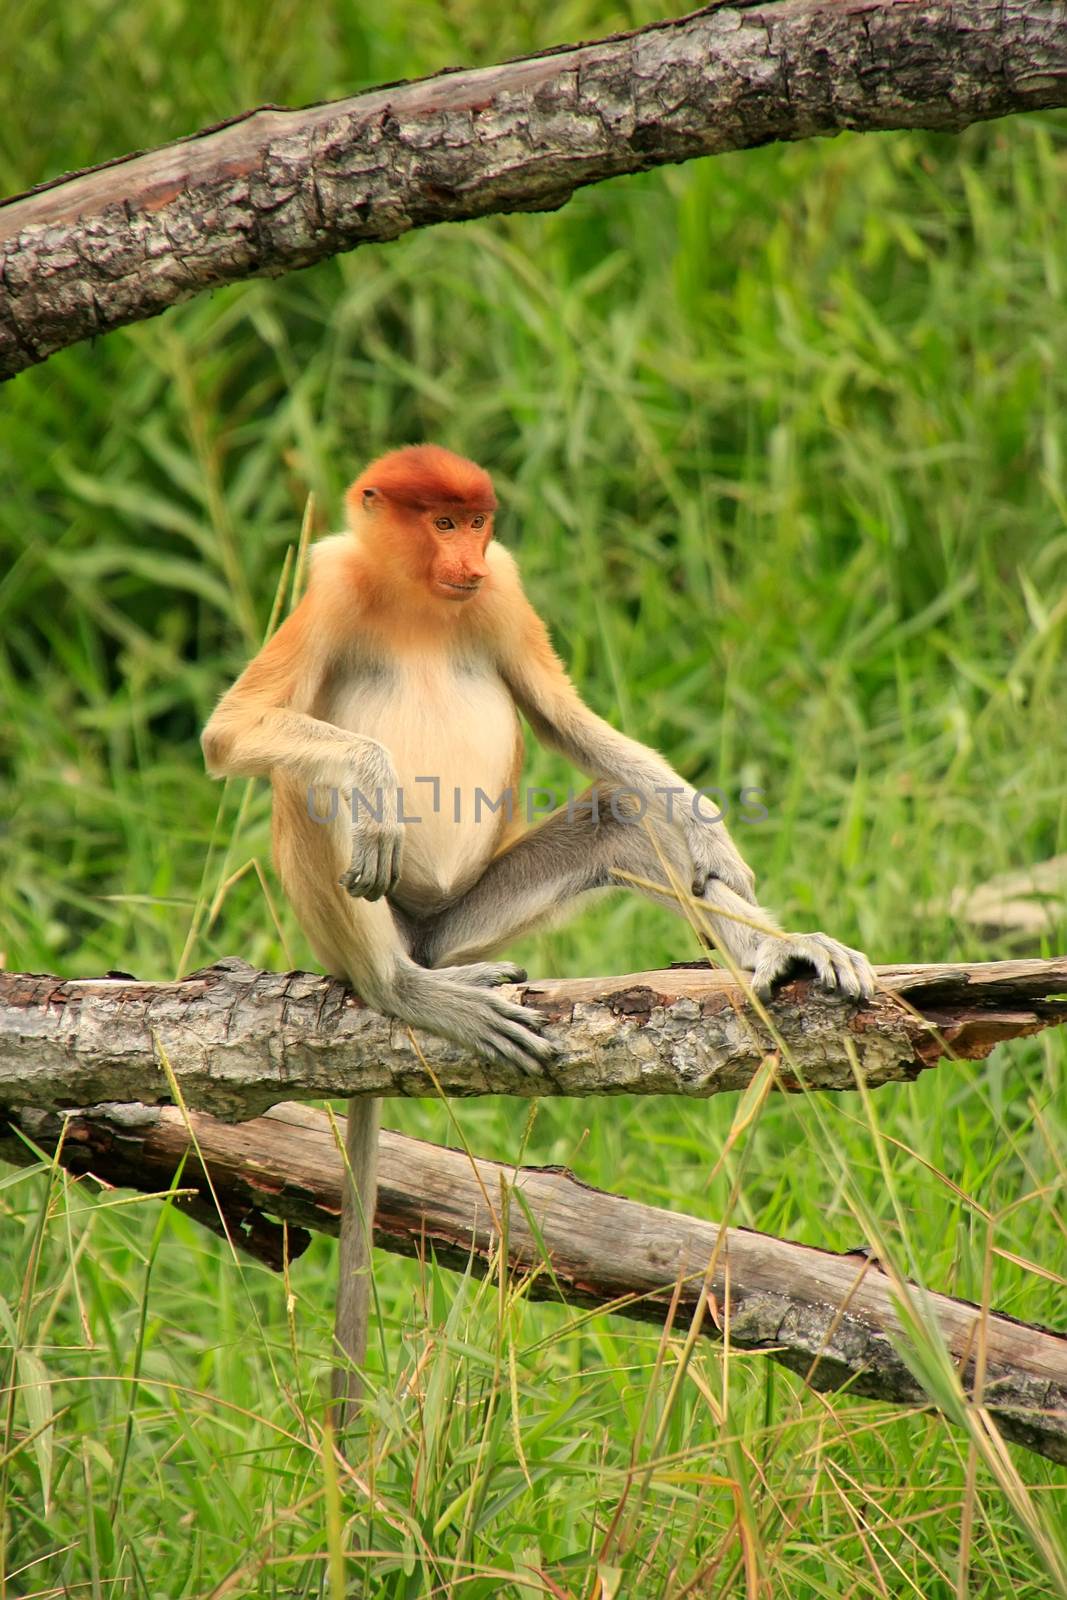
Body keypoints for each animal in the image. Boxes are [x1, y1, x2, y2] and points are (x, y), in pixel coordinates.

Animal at [202, 441, 876, 1414]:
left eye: (478, 524)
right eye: (442, 521)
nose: (467, 558)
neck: (417, 599)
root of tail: (422, 941)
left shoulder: (505, 592)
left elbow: (578, 727)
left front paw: (744, 881)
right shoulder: (329, 584)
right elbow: (232, 735)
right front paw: (373, 780)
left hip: (468, 919)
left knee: (620, 811)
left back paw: (779, 956)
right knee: (311, 785)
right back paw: (401, 989)